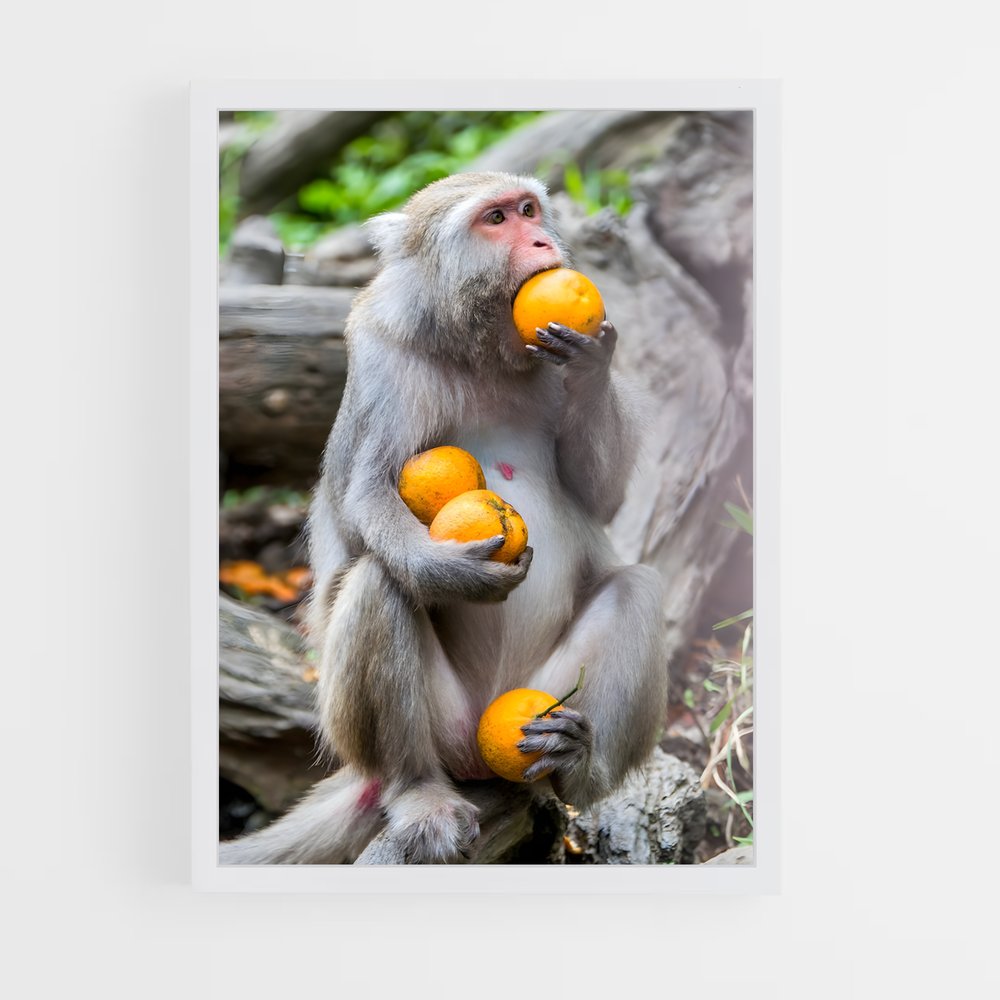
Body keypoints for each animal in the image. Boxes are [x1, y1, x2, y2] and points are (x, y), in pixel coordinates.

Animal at [219, 171, 668, 864]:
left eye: (530, 210)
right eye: (496, 219)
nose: (542, 241)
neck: (478, 346)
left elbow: (601, 495)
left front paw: (592, 364)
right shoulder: (382, 358)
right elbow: (367, 497)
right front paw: (452, 575)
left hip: (536, 699)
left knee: (636, 590)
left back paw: (577, 765)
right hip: (437, 732)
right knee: (379, 582)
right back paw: (416, 791)